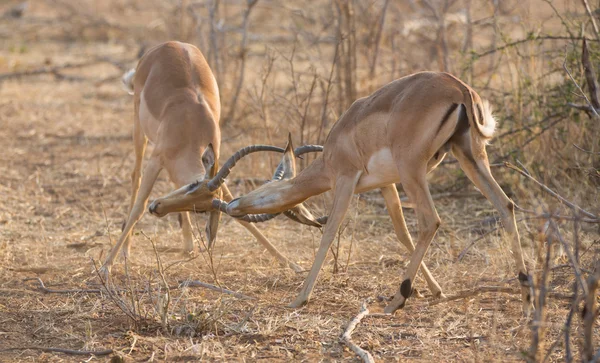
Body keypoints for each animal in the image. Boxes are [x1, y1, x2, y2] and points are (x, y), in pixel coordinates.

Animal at [101, 41, 304, 278]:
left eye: (201, 209)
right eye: (193, 185)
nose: (157, 207)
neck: (190, 127)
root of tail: (170, 44)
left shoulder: (216, 169)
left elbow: (239, 214)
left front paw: (290, 263)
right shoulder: (157, 159)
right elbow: (139, 207)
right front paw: (106, 265)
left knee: (169, 180)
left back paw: (189, 247)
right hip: (138, 130)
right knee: (136, 177)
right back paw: (126, 250)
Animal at [150, 72, 536, 316]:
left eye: (194, 187)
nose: (155, 205)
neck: (334, 149)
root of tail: (460, 89)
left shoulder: (347, 180)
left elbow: (330, 231)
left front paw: (299, 298)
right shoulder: (386, 185)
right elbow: (401, 233)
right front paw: (438, 291)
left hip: (415, 169)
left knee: (431, 220)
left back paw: (396, 300)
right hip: (468, 155)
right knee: (505, 205)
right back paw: (527, 294)